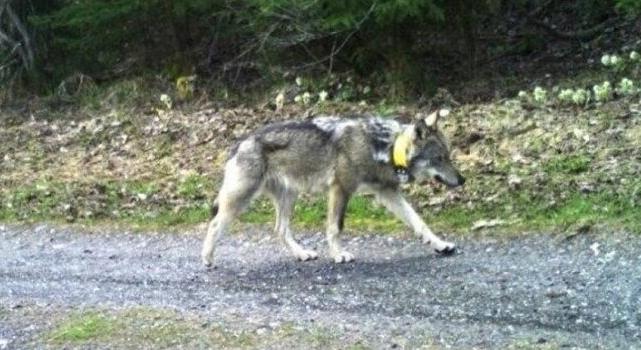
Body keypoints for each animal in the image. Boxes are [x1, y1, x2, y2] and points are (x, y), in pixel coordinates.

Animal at [201, 109, 464, 266]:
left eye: (448, 156)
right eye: (439, 158)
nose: (462, 180)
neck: (384, 148)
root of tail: (240, 142)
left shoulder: (388, 193)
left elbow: (419, 222)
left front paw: (440, 245)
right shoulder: (341, 189)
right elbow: (335, 228)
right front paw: (338, 255)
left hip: (289, 197)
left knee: (280, 229)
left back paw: (302, 254)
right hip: (241, 199)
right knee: (214, 224)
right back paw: (207, 259)